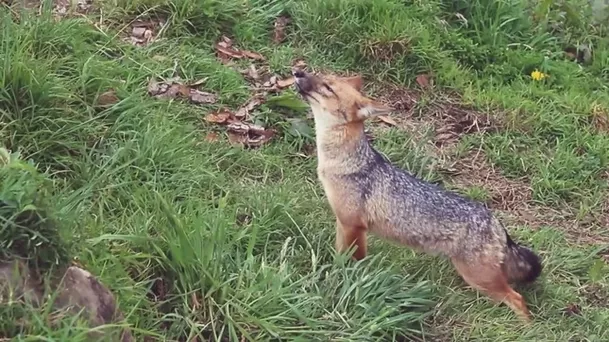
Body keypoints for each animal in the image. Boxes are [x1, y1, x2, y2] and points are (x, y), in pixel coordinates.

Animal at [290, 69, 540, 320]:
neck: (346, 162)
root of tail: (496, 222)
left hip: (479, 277)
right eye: (318, 74)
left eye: (328, 88)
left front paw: (347, 280)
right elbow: (339, 256)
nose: (298, 71)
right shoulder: (343, 224)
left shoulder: (354, 226)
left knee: (518, 300)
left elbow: (353, 263)